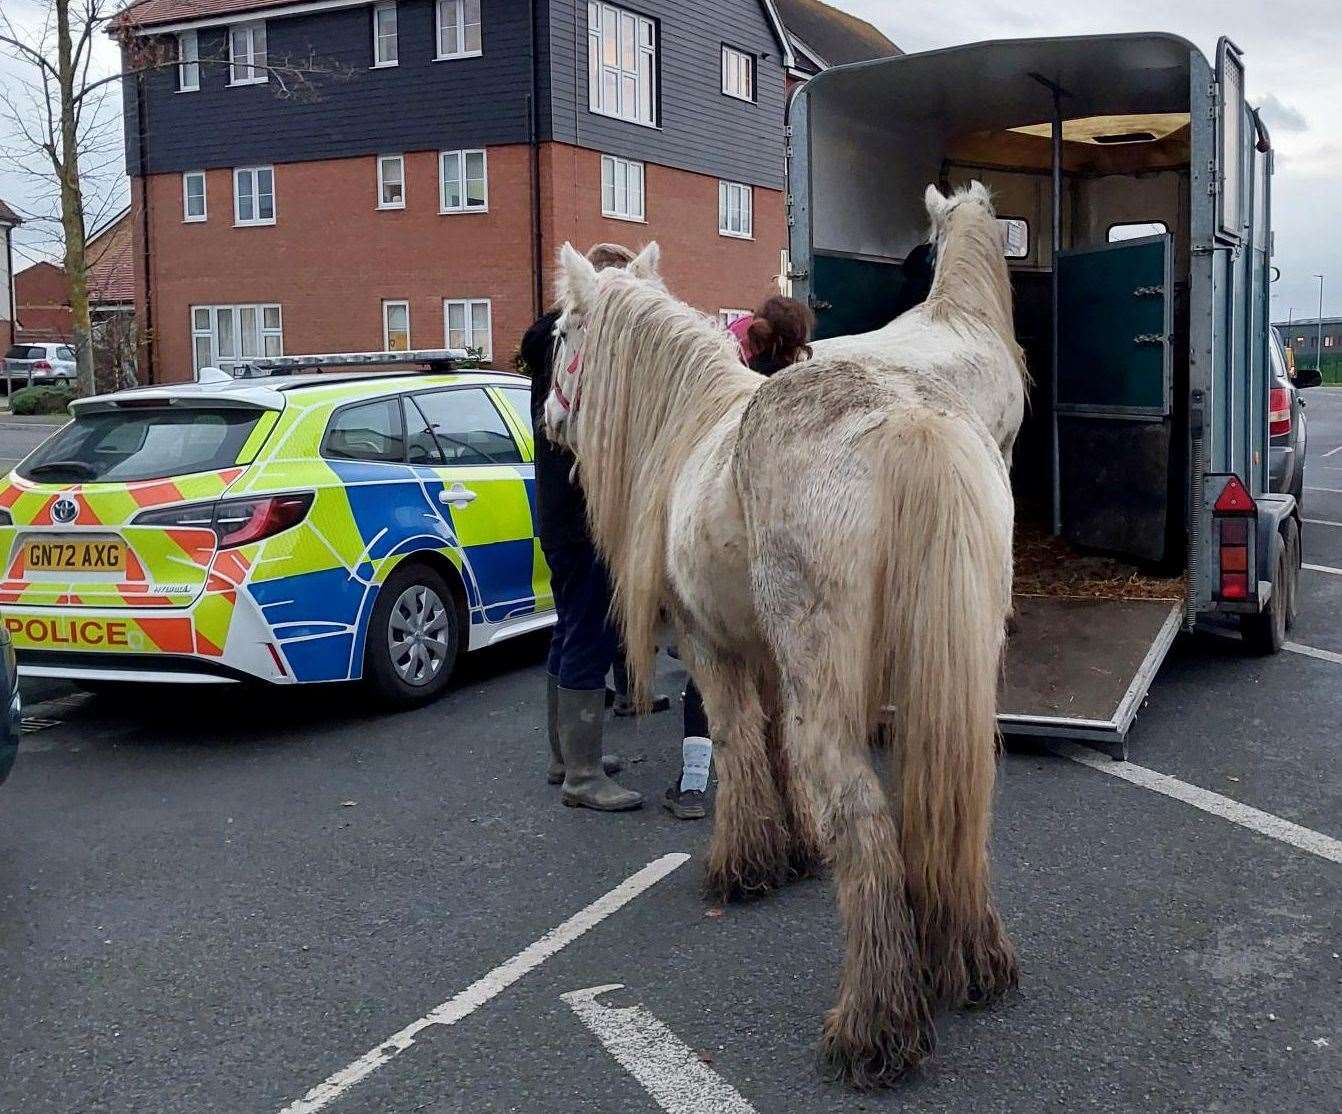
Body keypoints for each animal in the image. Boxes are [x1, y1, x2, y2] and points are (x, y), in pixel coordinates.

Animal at [544, 237, 1014, 1089]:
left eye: (561, 333)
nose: (548, 420)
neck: (692, 423)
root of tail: (911, 423)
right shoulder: (765, 655)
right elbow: (773, 752)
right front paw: (790, 850)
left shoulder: (710, 647)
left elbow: (735, 744)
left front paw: (744, 863)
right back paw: (968, 958)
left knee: (862, 816)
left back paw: (875, 1028)